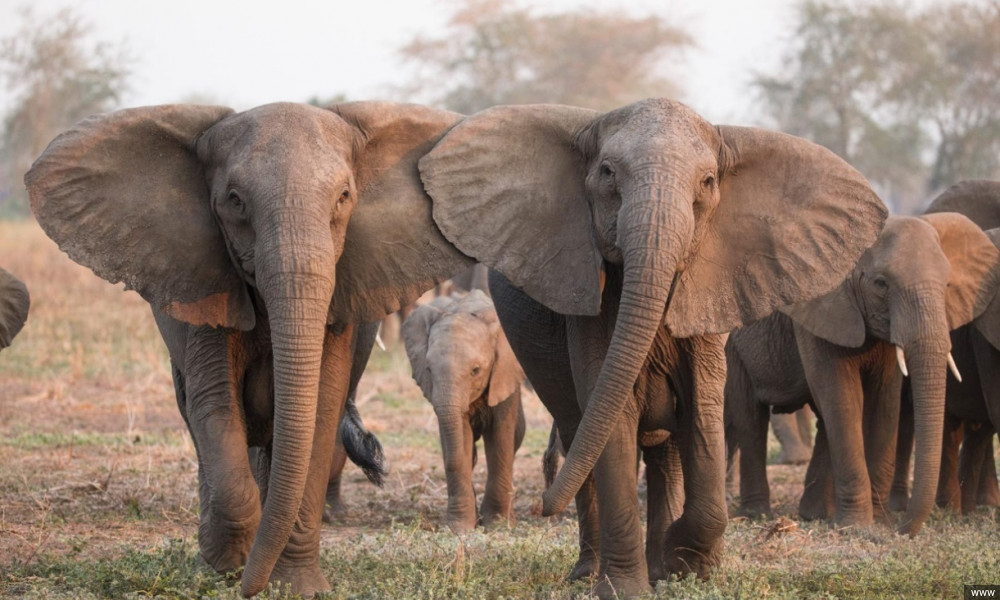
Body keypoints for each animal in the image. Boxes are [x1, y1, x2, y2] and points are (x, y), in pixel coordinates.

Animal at [25, 102, 474, 596]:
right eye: (235, 200)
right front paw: (227, 567)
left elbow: (319, 411)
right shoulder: (206, 285)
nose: (248, 587)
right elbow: (215, 405)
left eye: (343, 197)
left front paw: (295, 586)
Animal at [400, 290, 528, 528]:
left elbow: (500, 438)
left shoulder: (504, 374)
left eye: (475, 370)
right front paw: (459, 528)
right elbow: (460, 437)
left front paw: (497, 525)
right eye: (428, 369)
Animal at [418, 97, 888, 596]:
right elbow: (612, 416)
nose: (539, 506)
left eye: (708, 182)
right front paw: (626, 588)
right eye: (607, 173)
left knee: (665, 453)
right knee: (580, 433)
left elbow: (703, 410)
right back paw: (591, 572)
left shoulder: (710, 290)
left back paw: (661, 564)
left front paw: (687, 562)